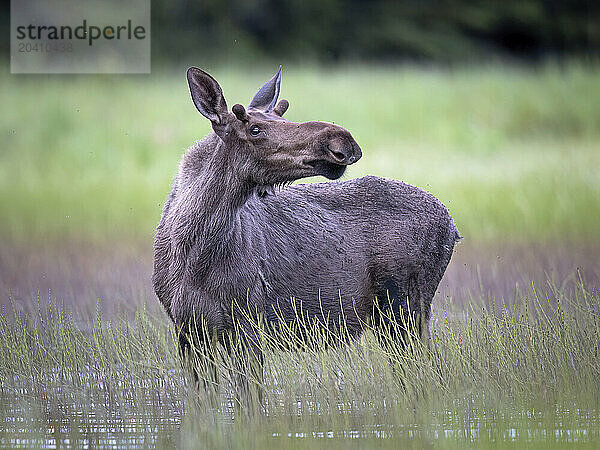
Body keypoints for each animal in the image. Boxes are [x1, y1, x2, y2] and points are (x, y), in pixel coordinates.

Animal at [154, 66, 460, 400]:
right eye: (254, 129)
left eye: (282, 116)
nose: (342, 141)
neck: (193, 250)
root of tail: (452, 226)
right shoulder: (187, 330)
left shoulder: (249, 323)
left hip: (406, 307)